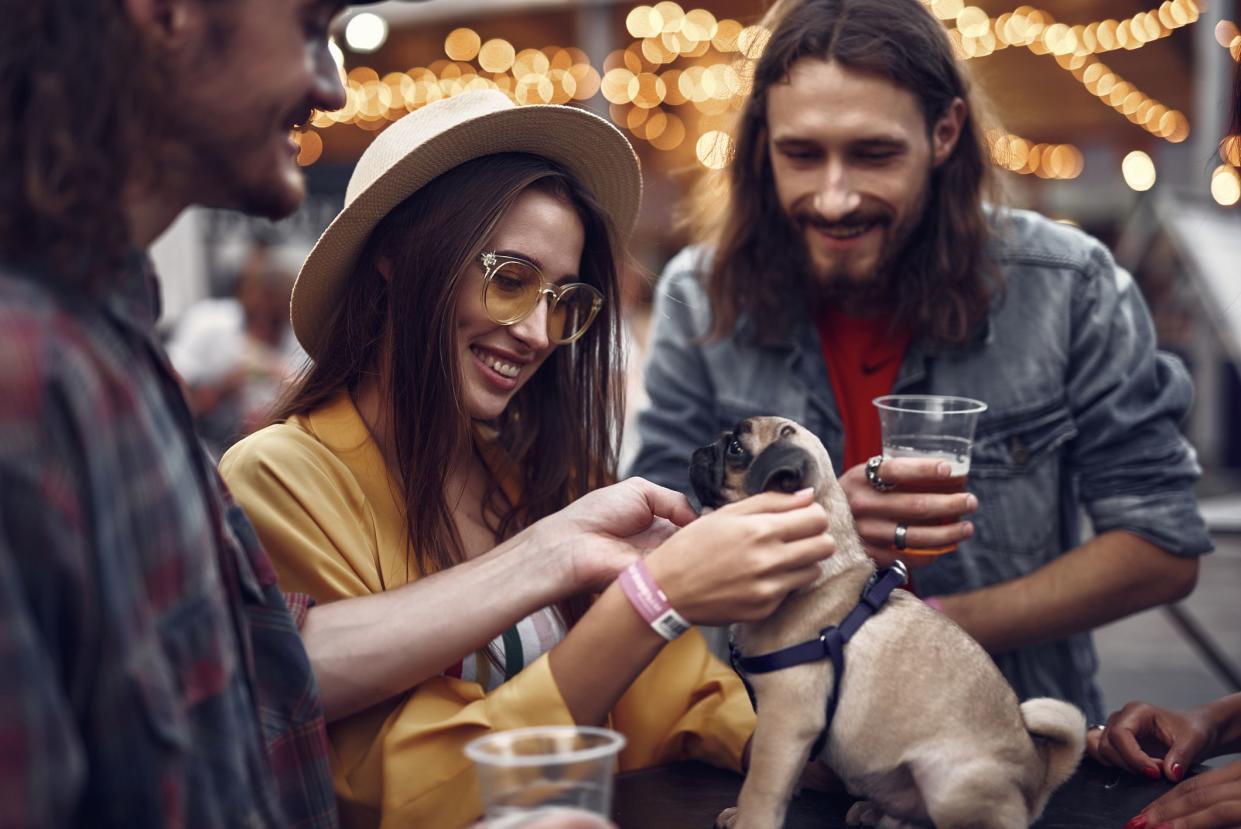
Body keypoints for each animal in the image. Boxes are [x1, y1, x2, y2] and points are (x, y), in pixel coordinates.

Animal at [689, 421, 1087, 829]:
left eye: (736, 449)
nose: (702, 449)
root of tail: (1039, 775)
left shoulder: (785, 722)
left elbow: (760, 788)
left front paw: (748, 819)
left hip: (948, 783)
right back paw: (877, 812)